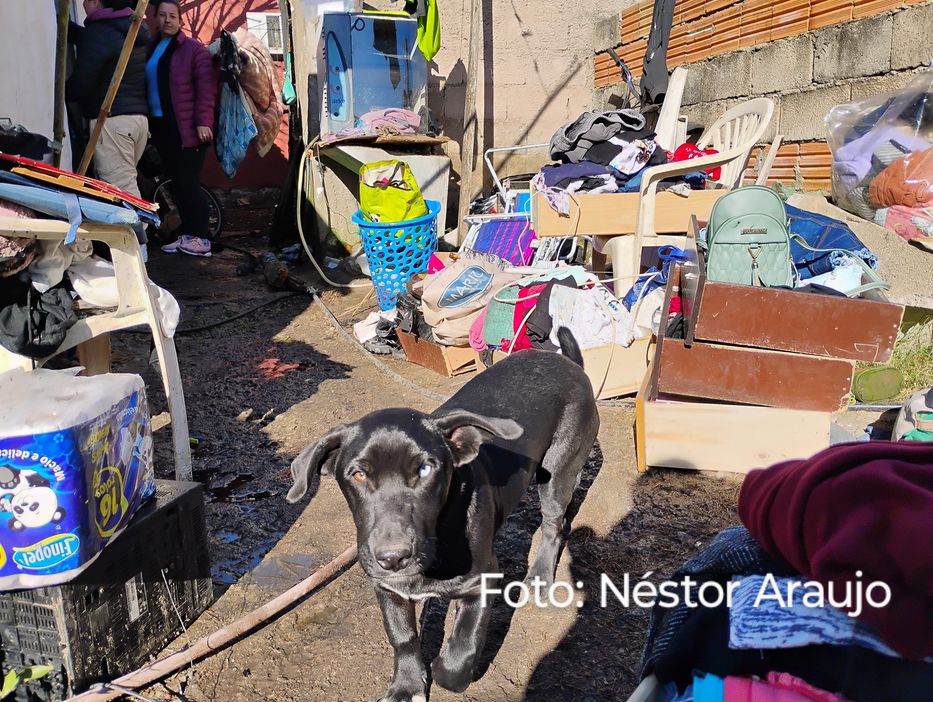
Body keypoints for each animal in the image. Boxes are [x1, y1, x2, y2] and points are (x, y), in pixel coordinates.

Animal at [288, 332, 600, 702]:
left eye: (425, 469)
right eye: (358, 475)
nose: (393, 557)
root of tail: (568, 362)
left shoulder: (483, 579)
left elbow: (462, 648)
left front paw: (445, 669)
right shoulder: (388, 587)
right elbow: (403, 637)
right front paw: (407, 685)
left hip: (558, 469)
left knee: (556, 523)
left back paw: (539, 576)